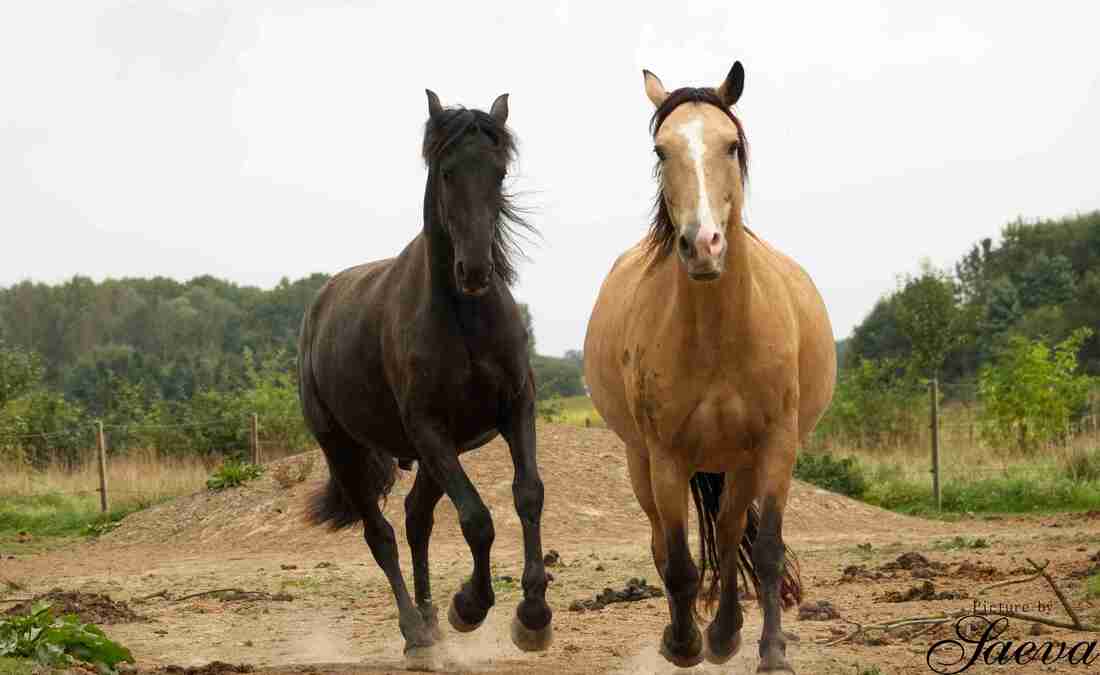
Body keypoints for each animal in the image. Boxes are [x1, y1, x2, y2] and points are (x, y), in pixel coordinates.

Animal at [298, 89, 552, 658]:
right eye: (446, 173)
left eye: (499, 173)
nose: (475, 271)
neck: (464, 319)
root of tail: (319, 306)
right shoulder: (430, 429)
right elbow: (477, 520)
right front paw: (471, 606)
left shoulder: (513, 410)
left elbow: (528, 495)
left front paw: (533, 616)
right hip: (345, 449)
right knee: (382, 535)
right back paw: (416, 631)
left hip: (436, 453)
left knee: (417, 518)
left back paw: (431, 619)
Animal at [583, 61, 836, 672]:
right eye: (660, 150)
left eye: (731, 144)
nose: (704, 245)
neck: (719, 337)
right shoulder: (667, 457)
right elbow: (677, 560)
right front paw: (683, 644)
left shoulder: (776, 446)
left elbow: (764, 551)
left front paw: (771, 651)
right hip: (643, 462)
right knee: (664, 543)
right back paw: (694, 635)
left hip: (738, 464)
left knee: (727, 533)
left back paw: (726, 633)